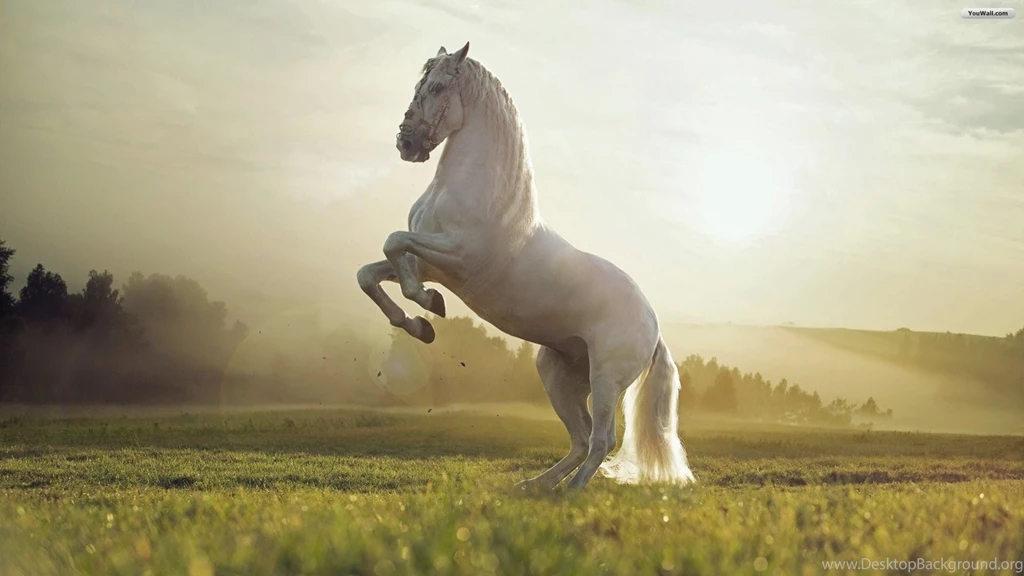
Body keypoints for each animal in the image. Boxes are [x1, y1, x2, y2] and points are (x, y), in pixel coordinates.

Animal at [357, 42, 696, 492]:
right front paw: (419, 324)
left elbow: (394, 244)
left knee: (601, 440)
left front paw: (429, 306)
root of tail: (653, 326)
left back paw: (570, 493)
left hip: (606, 380)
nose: (406, 143)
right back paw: (535, 487)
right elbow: (371, 272)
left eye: (439, 86)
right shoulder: (428, 263)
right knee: (580, 438)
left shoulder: (456, 257)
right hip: (557, 374)